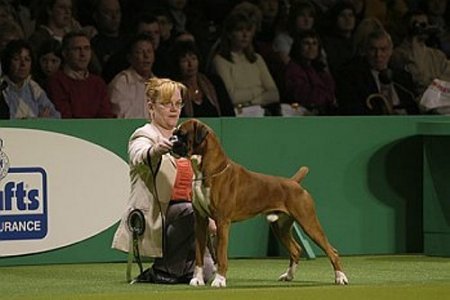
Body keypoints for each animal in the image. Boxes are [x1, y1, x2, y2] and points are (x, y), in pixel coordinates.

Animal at [171, 118, 350, 288]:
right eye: (175, 133)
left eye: (182, 134)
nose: (171, 140)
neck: (209, 171)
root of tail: (294, 183)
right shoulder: (201, 222)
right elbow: (199, 255)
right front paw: (197, 280)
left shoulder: (222, 222)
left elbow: (221, 255)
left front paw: (220, 280)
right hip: (280, 227)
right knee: (296, 250)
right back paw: (288, 276)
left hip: (308, 223)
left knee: (331, 251)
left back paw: (340, 278)